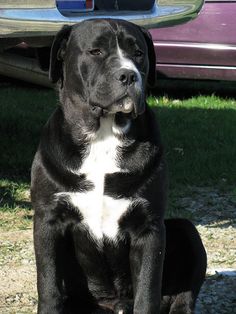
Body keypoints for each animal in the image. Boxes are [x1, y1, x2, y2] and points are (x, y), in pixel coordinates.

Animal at [31, 18, 206, 312]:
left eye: (139, 54)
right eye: (96, 51)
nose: (128, 75)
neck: (103, 136)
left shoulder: (149, 228)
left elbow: (147, 291)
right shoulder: (48, 220)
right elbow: (49, 286)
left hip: (187, 230)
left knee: (183, 296)